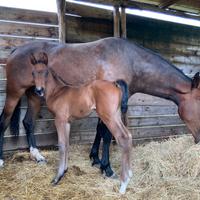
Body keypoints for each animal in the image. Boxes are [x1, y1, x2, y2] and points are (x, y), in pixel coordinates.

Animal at [0, 36, 200, 176]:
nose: (199, 140)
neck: (130, 60)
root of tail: (16, 50)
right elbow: (107, 134)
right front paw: (107, 167)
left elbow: (100, 130)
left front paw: (95, 158)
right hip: (14, 93)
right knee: (4, 121)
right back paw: (2, 160)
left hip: (34, 95)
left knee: (28, 122)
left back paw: (38, 156)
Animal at [29, 51, 132, 194]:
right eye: (33, 73)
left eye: (45, 72)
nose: (39, 90)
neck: (58, 92)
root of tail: (113, 83)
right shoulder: (67, 122)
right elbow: (66, 144)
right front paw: (64, 171)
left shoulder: (59, 120)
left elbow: (61, 145)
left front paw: (57, 177)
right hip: (115, 115)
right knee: (129, 136)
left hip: (109, 117)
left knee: (123, 138)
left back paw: (123, 183)